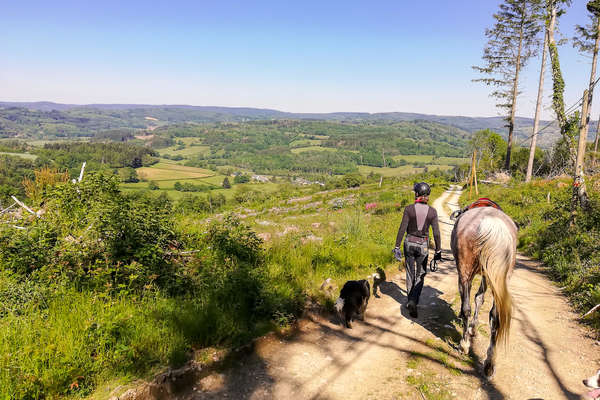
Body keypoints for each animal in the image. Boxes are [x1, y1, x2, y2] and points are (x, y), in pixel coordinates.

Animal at [452, 205, 516, 376]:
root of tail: (491, 223)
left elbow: (472, 299)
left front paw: (470, 330)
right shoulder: (488, 274)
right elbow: (480, 297)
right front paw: (473, 329)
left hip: (465, 271)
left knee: (466, 308)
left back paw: (464, 345)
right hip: (502, 277)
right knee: (496, 316)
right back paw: (489, 363)